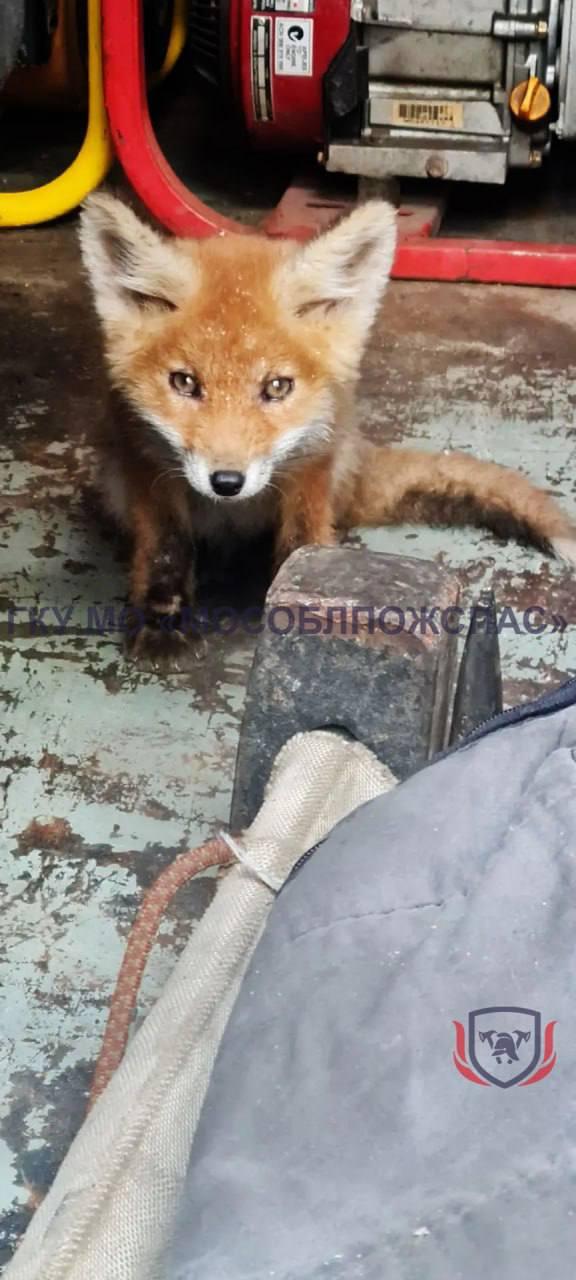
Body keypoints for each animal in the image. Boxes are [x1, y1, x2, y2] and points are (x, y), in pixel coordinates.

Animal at [79, 192, 576, 670]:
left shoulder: (312, 457)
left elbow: (303, 542)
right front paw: (162, 622)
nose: (227, 482)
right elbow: (165, 548)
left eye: (277, 387)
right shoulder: (145, 456)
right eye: (184, 382)